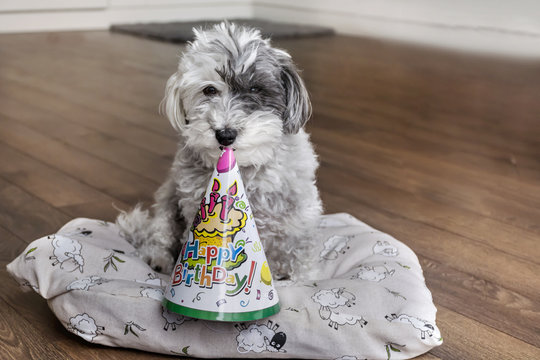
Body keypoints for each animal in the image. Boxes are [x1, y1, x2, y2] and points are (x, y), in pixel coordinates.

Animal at [115, 21, 320, 278]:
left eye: (255, 89)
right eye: (209, 90)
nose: (225, 134)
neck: (245, 170)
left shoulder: (299, 223)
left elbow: (301, 261)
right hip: (168, 199)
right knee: (159, 235)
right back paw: (157, 259)